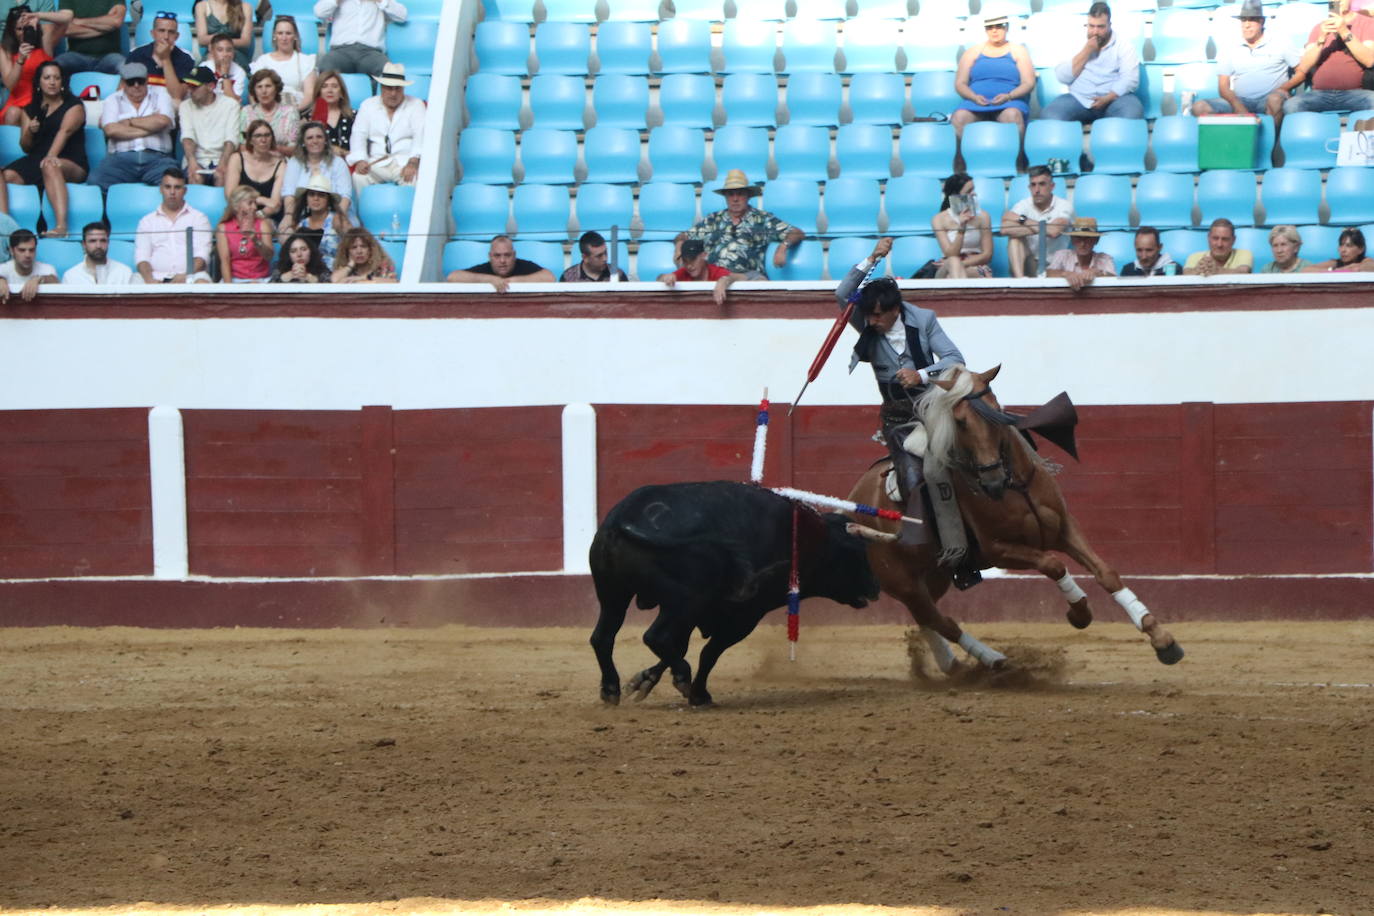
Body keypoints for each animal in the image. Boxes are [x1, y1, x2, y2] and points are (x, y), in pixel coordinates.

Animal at [585, 483, 873, 708]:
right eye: (856, 553)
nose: (874, 587)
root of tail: (625, 517)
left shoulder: (701, 616)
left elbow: (682, 646)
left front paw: (643, 681)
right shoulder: (744, 616)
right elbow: (709, 653)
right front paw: (699, 695)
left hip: (614, 595)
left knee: (603, 637)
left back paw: (611, 689)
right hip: (684, 602)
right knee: (656, 636)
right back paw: (684, 679)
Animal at [846, 365, 1181, 672]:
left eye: (996, 413)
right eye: (959, 422)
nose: (992, 480)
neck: (1014, 485)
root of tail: (853, 497)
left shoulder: (1064, 527)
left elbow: (1106, 573)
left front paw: (1161, 638)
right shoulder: (998, 549)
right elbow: (1053, 564)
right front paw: (1080, 614)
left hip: (934, 575)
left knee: (927, 618)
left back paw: (952, 665)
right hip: (903, 581)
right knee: (941, 621)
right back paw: (991, 661)